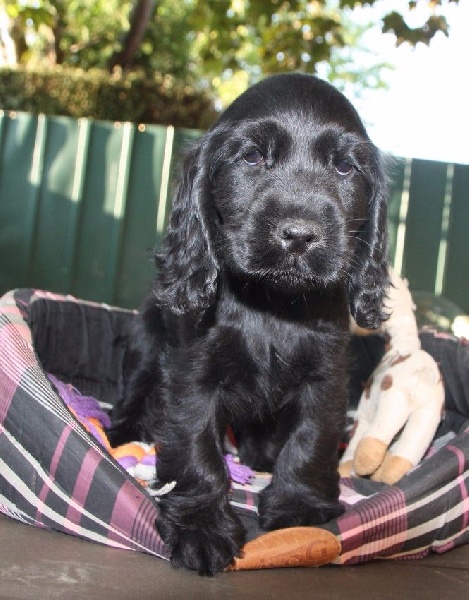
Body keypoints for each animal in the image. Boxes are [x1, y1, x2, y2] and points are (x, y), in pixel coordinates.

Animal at [108, 73, 389, 575]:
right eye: (253, 156)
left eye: (344, 167)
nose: (299, 235)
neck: (272, 304)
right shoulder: (191, 375)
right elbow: (196, 447)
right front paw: (200, 526)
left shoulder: (326, 376)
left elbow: (311, 437)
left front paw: (299, 506)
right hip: (145, 349)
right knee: (134, 395)